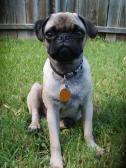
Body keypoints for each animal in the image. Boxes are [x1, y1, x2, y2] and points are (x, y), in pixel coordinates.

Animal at [27, 12, 104, 168]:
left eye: (78, 32)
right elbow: (55, 141)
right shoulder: (52, 111)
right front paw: (56, 161)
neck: (66, 74)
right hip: (36, 89)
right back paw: (34, 125)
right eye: (50, 34)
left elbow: (88, 131)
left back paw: (66, 123)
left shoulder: (87, 106)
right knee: (36, 114)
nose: (64, 37)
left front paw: (93, 148)